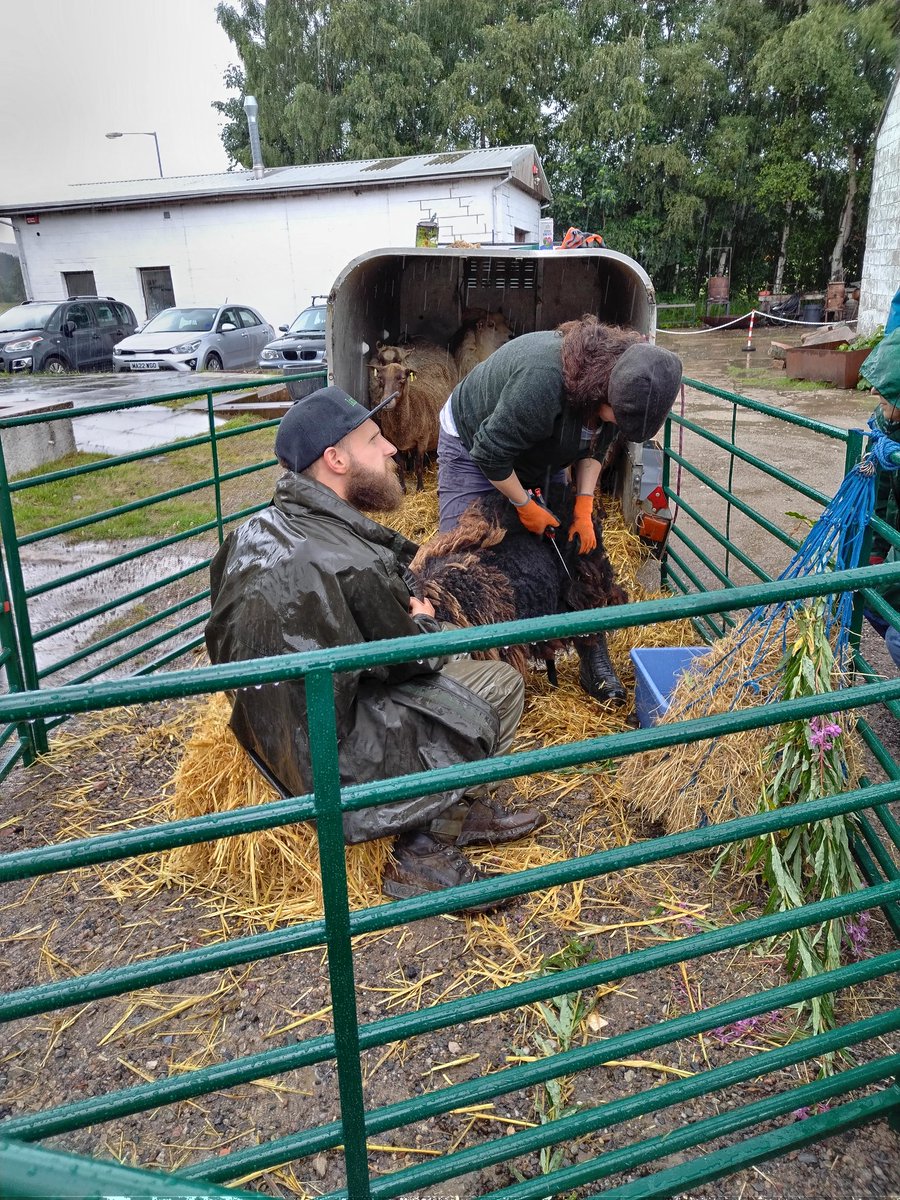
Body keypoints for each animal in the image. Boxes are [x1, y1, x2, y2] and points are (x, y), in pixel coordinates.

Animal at [367, 340, 458, 489]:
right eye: (380, 378)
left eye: (402, 379)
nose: (386, 402)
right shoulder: (393, 442)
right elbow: (400, 465)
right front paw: (403, 488)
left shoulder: (422, 441)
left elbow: (419, 466)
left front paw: (420, 488)